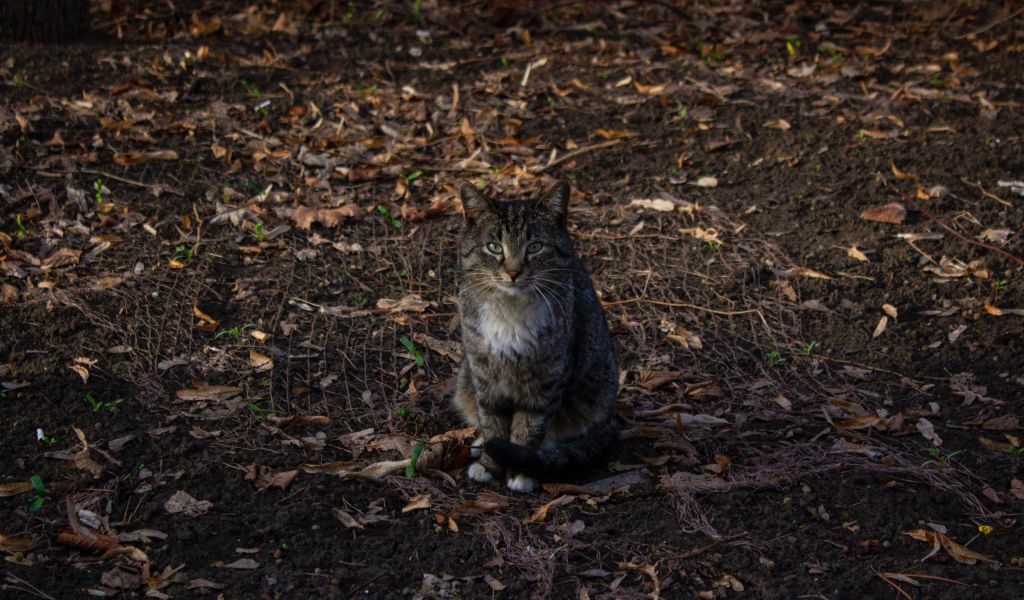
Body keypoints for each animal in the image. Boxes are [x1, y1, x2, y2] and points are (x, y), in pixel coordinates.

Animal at [454, 181, 614, 491]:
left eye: (535, 247)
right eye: (494, 247)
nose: (514, 272)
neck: (511, 310)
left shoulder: (547, 380)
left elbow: (530, 427)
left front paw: (520, 471)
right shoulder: (483, 373)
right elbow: (492, 423)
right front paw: (490, 465)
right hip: (465, 379)